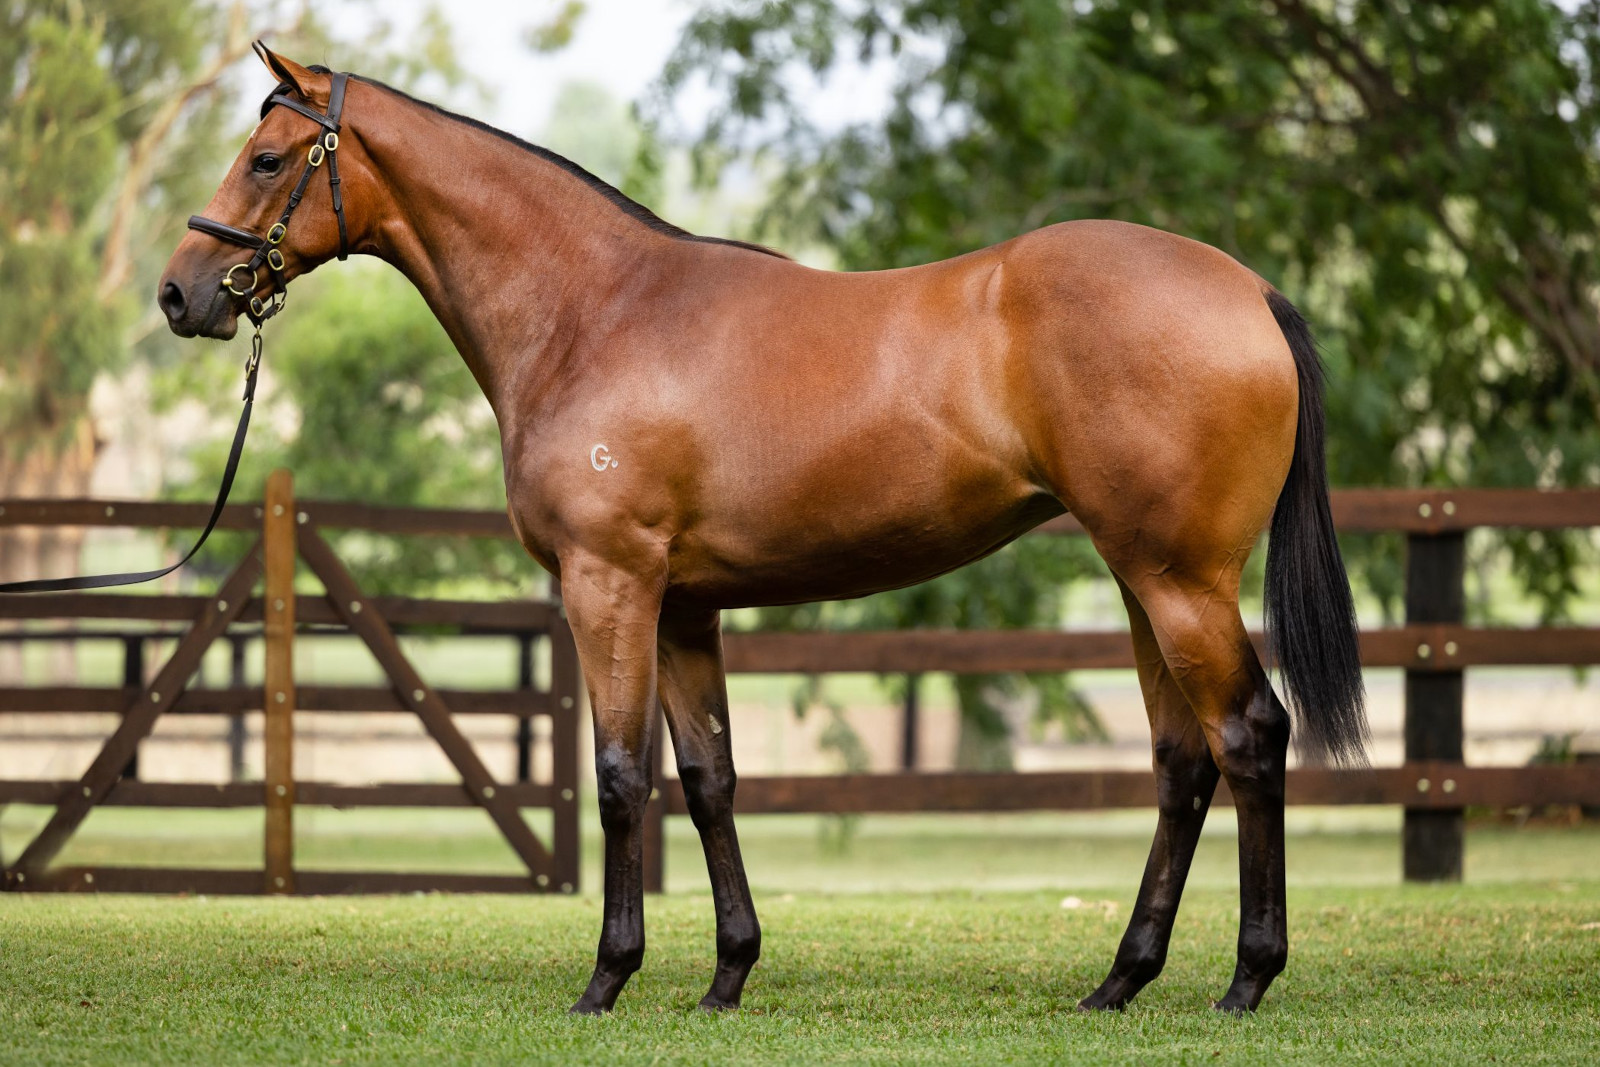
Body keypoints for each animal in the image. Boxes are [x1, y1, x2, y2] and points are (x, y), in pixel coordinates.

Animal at [159, 47, 1363, 1017]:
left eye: (267, 158)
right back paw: (1120, 979)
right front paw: (728, 973)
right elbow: (709, 780)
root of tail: (1249, 290)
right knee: (1181, 763)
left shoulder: (609, 587)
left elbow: (619, 776)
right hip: (1137, 579)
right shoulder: (685, 608)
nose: (179, 295)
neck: (598, 310)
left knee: (1250, 734)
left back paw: (1247, 977)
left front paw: (607, 976)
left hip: (1178, 580)